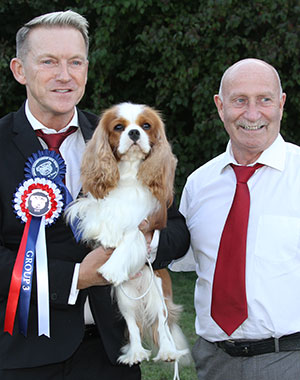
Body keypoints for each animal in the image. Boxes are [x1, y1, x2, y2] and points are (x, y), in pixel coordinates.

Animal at [67, 101, 190, 366]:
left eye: (146, 126)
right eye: (119, 127)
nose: (134, 133)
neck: (130, 171)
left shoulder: (145, 222)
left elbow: (132, 235)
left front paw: (111, 267)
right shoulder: (97, 202)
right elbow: (100, 212)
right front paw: (107, 234)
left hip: (158, 291)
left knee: (161, 323)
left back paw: (168, 353)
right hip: (125, 299)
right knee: (133, 325)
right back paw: (135, 354)